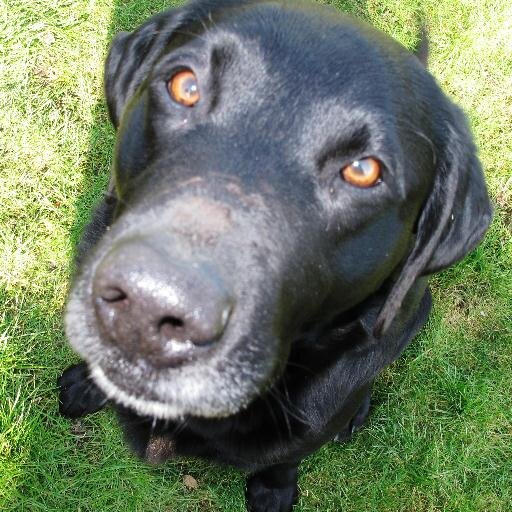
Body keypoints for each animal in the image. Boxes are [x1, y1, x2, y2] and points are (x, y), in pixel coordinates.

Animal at [58, 2, 494, 510]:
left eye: (363, 170)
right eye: (185, 85)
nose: (147, 309)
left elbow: (287, 455)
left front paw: (274, 488)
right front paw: (87, 383)